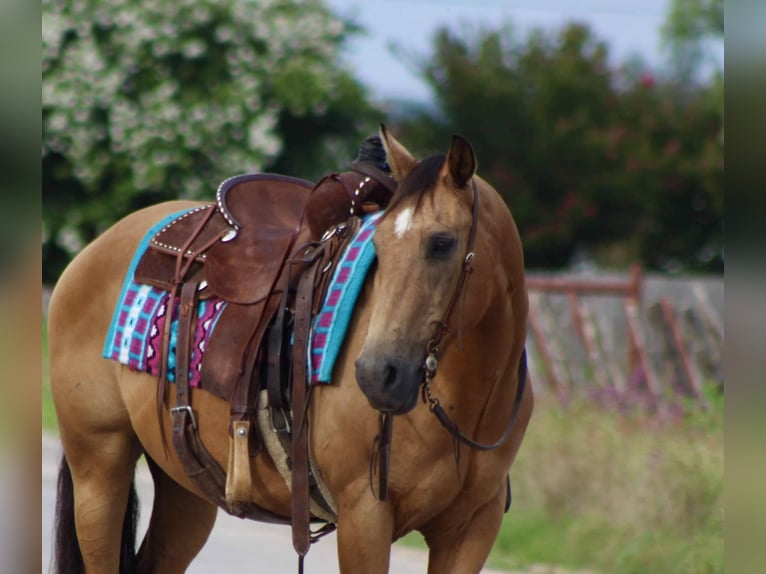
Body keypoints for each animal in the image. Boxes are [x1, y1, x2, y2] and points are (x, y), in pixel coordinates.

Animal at [48, 127, 534, 573]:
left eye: (442, 243)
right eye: (378, 247)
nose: (378, 373)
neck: (463, 402)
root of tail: (92, 251)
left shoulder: (472, 529)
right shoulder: (365, 518)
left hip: (185, 486)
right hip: (99, 470)